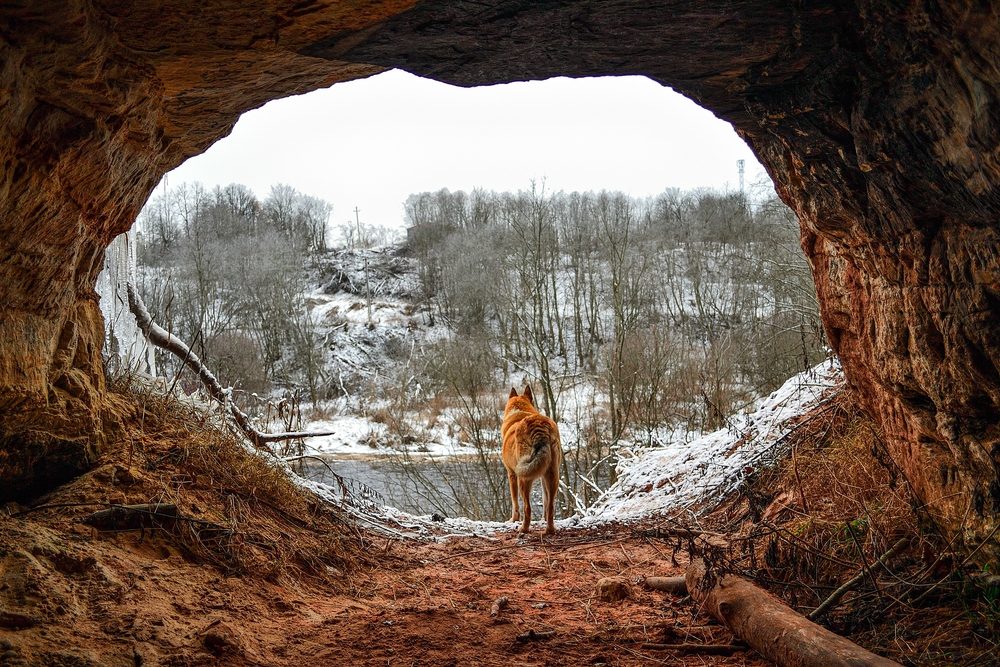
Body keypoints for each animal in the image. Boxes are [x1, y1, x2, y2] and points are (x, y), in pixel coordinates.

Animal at [500, 384, 564, 536]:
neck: (520, 413)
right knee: (551, 506)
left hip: (524, 478)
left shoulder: (511, 474)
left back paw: (524, 529)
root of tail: (539, 426)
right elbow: (545, 502)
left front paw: (513, 520)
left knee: (527, 508)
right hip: (553, 475)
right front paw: (543, 520)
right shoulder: (542, 476)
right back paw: (549, 530)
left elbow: (515, 502)